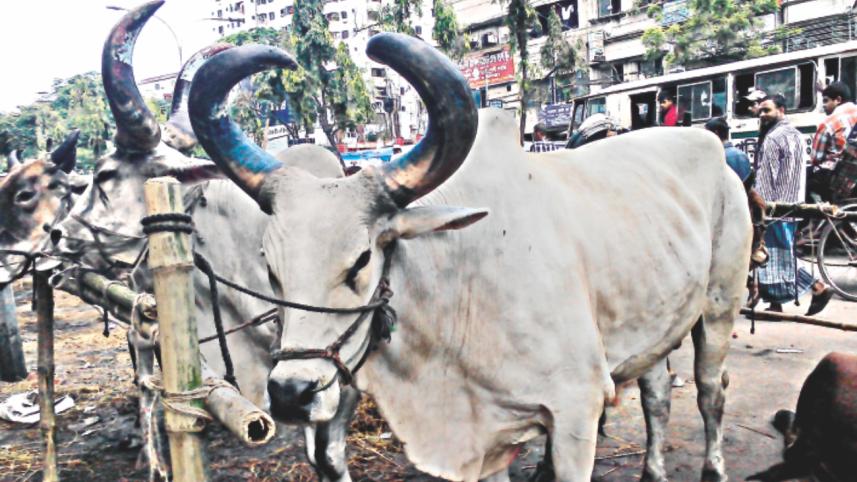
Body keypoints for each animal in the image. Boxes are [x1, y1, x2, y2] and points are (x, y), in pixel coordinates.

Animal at [188, 35, 752, 482]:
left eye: (362, 261)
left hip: (720, 305)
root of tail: (711, 147)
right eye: (270, 267)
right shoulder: (488, 437)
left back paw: (715, 466)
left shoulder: (577, 409)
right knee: (657, 395)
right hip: (654, 327)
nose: (290, 393)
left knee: (711, 389)